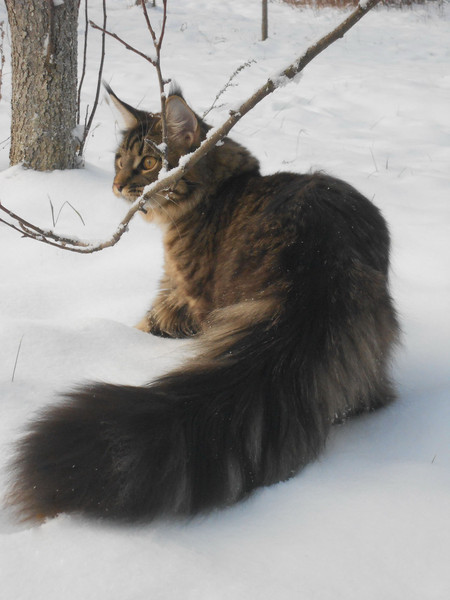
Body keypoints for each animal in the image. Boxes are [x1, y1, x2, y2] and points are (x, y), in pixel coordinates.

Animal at [8, 86, 400, 524]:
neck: (219, 191)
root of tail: (316, 262)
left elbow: (146, 324)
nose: (118, 186)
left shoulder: (182, 295)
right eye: (119, 161)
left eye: (148, 163)